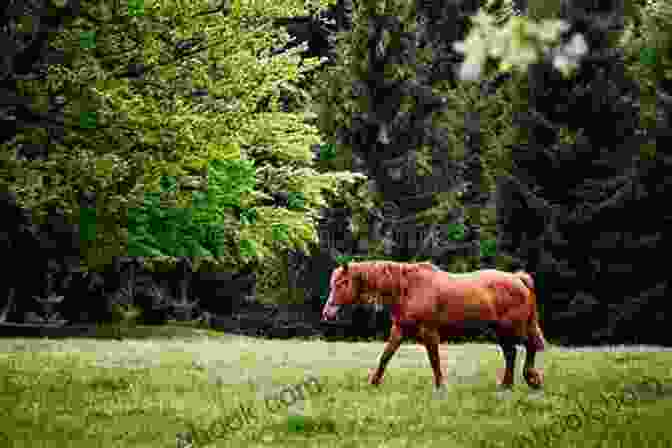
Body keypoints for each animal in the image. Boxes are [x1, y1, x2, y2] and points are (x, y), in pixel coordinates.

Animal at [322, 260, 544, 390]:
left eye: (342, 283)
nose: (327, 313)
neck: (408, 288)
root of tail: (518, 279)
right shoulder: (399, 330)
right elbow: (385, 356)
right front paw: (374, 383)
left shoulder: (429, 332)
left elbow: (434, 360)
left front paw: (440, 387)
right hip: (500, 331)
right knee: (511, 353)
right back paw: (506, 385)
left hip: (513, 328)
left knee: (530, 346)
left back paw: (532, 379)